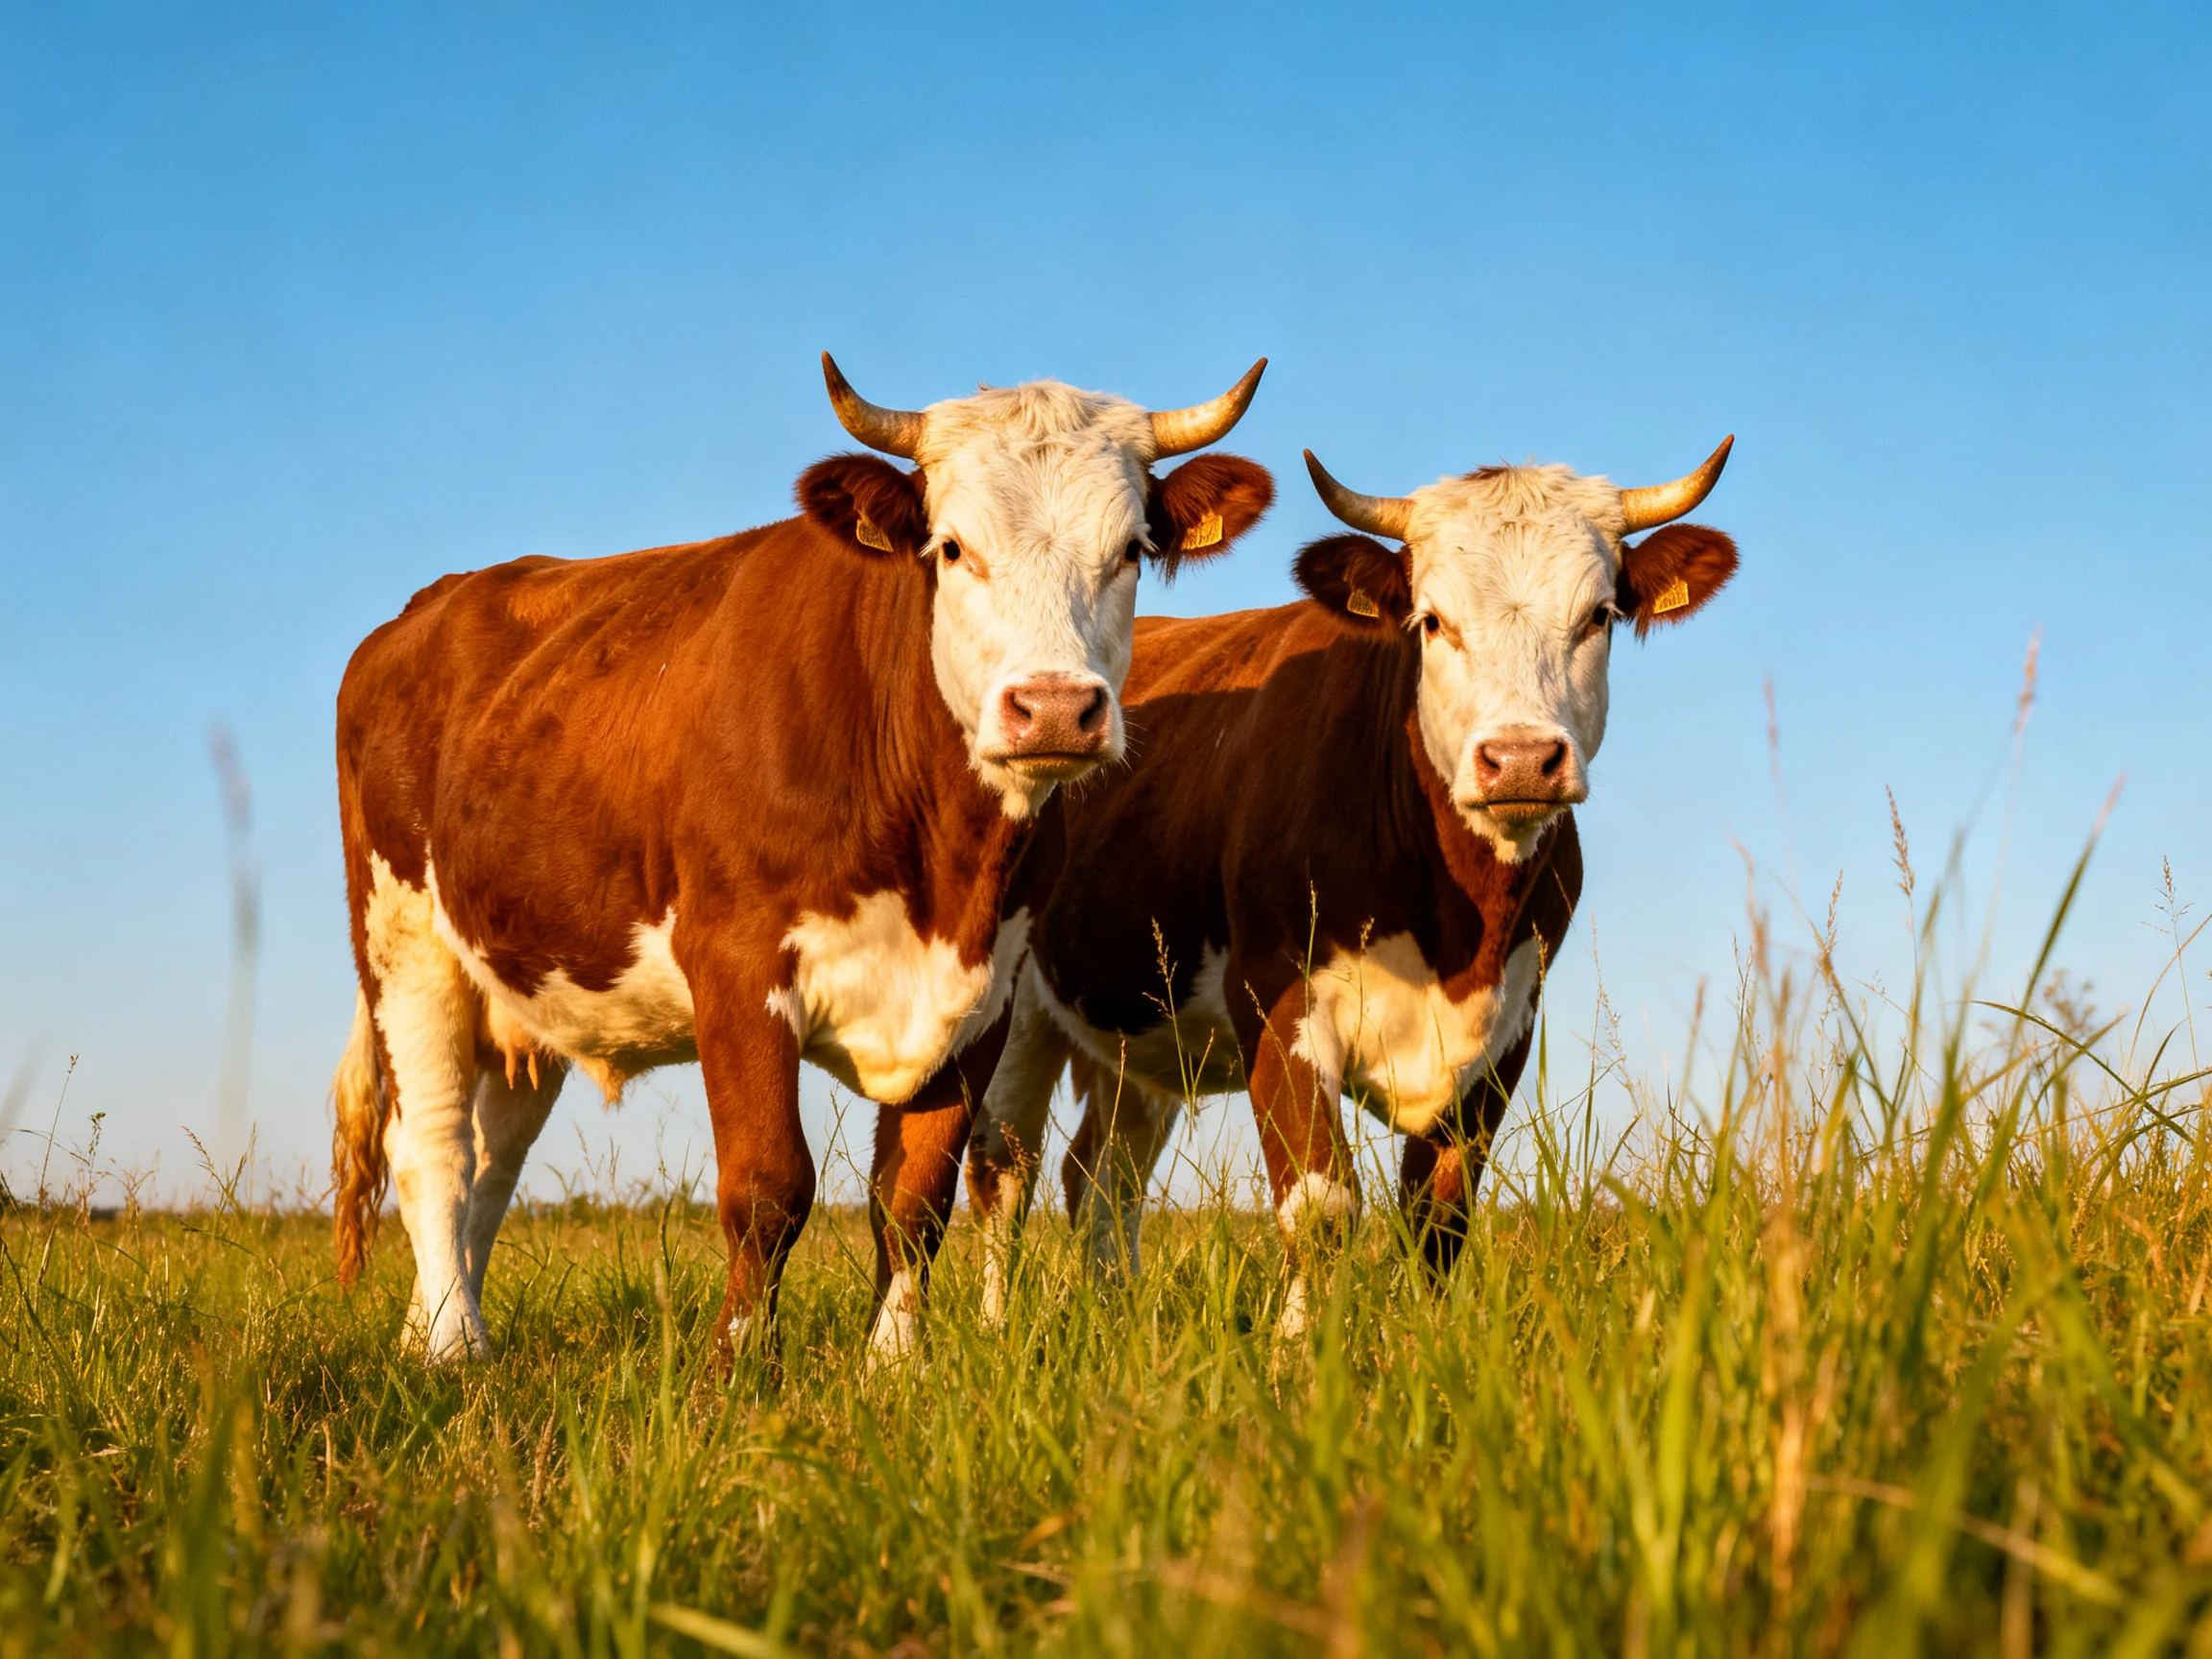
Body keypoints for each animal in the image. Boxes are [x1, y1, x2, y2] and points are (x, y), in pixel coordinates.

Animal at [328, 354, 1275, 1365]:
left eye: (1130, 550)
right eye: (950, 548)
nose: (1055, 708)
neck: (943, 868)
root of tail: (427, 609)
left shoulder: (986, 991)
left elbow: (916, 1197)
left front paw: (894, 1364)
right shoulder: (738, 966)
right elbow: (769, 1186)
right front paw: (737, 1365)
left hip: (527, 985)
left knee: (494, 1161)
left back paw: (443, 1328)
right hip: (403, 942)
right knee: (434, 1151)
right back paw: (448, 1344)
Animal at [964, 434, 1737, 1335]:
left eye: (1598, 617)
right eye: (1432, 620)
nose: (1518, 760)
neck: (1458, 925)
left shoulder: (1509, 1026)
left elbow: (1440, 1218)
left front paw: (1431, 1348)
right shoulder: (1277, 999)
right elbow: (1321, 1204)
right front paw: (1303, 1353)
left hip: (1144, 1026)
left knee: (1102, 1175)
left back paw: (1118, 1322)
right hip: (1021, 1007)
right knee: (1004, 1164)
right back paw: (994, 1330)